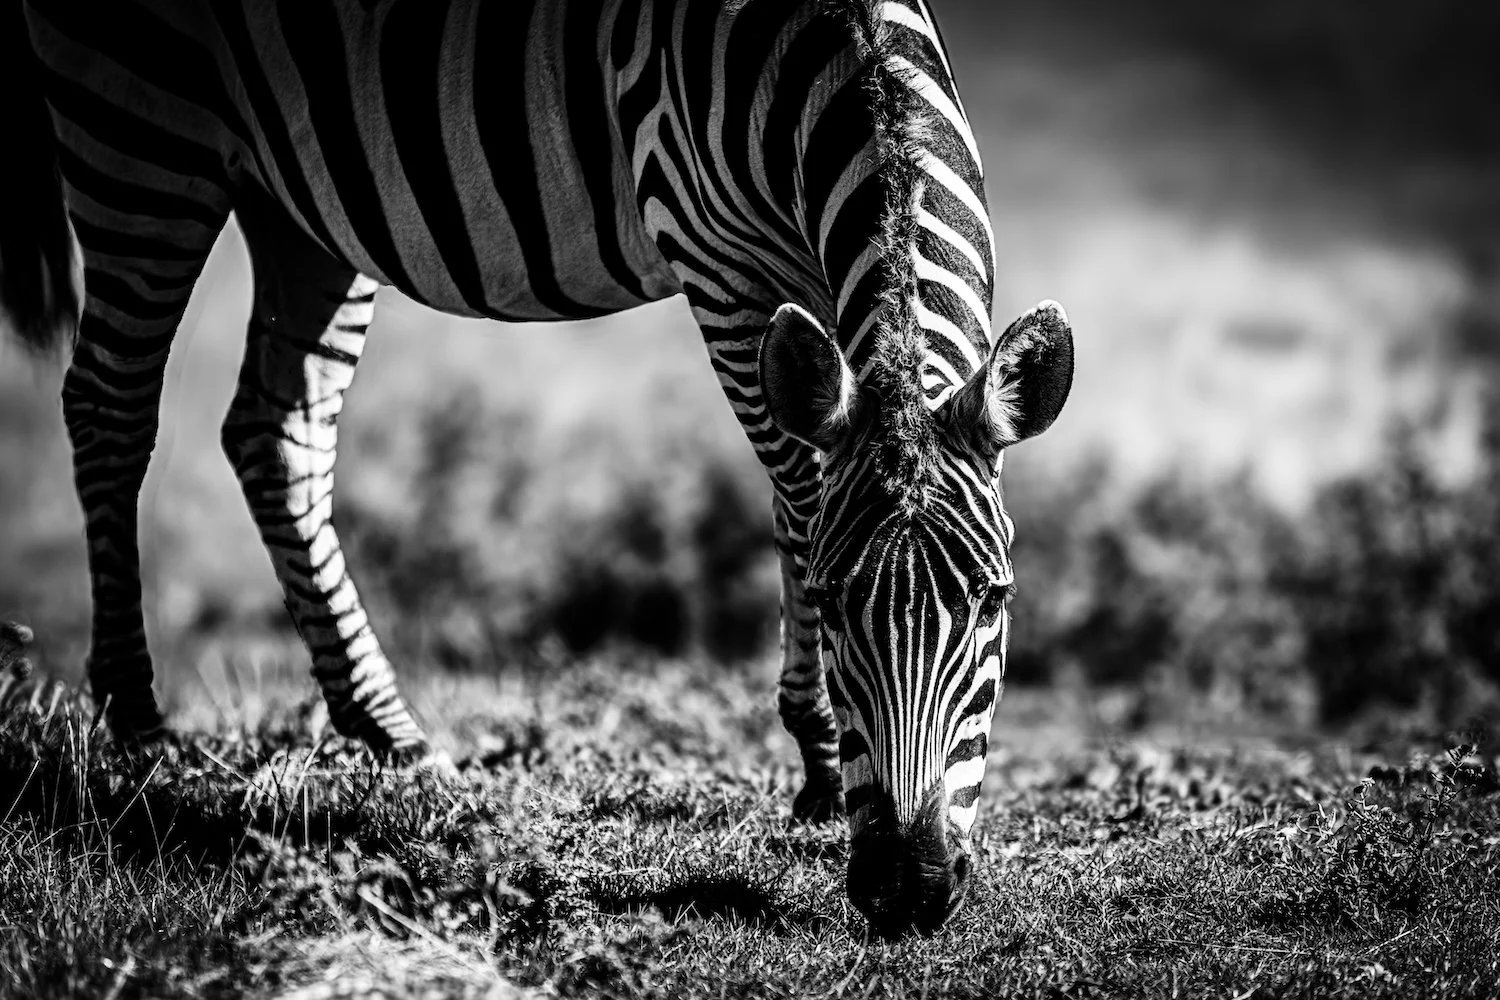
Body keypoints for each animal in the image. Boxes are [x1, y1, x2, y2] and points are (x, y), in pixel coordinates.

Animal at [1, 0, 1073, 934]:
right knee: (109, 404)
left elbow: (793, 500)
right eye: (838, 599)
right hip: (139, 132)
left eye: (995, 601)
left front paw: (811, 765)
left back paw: (389, 731)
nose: (909, 894)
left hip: (295, 196)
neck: (848, 55)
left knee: (277, 431)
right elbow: (799, 499)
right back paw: (137, 727)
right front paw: (816, 755)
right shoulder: (717, 263)